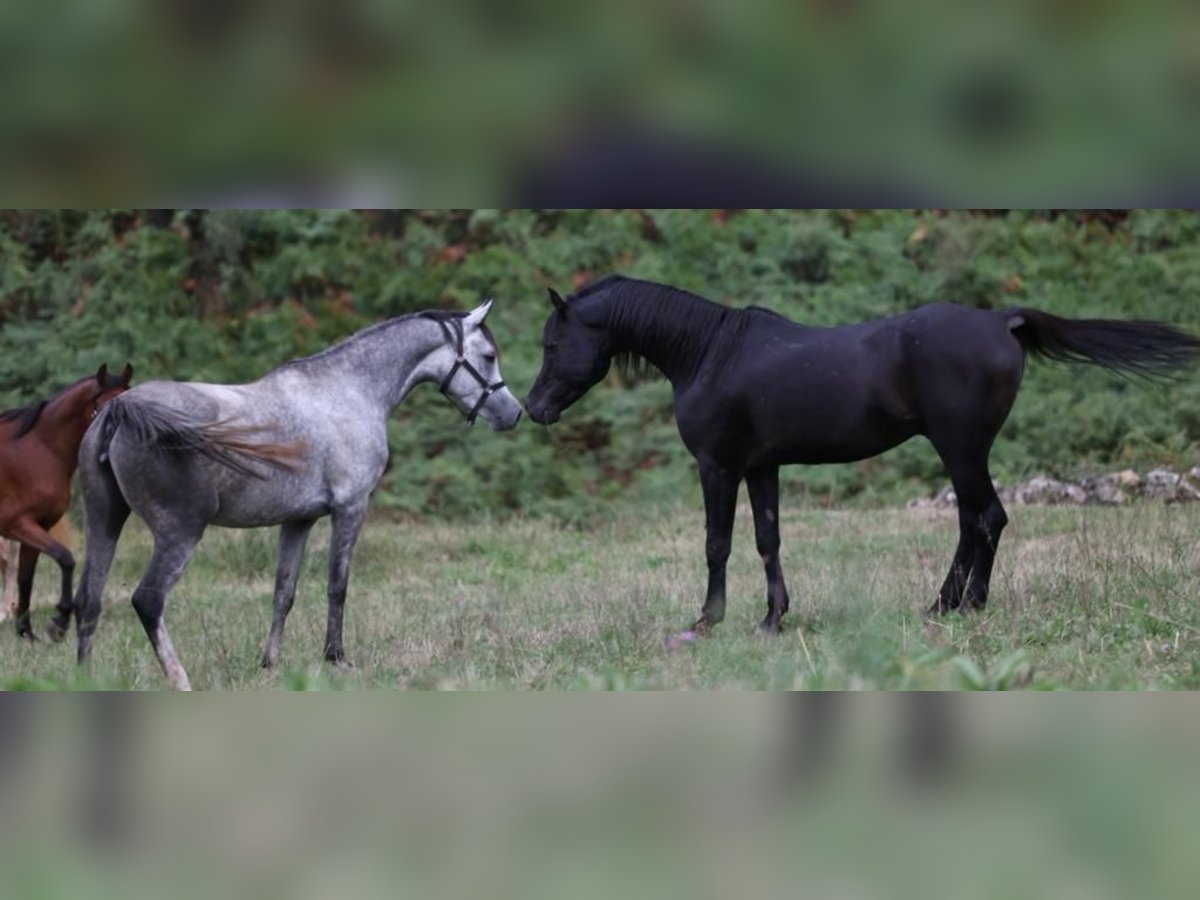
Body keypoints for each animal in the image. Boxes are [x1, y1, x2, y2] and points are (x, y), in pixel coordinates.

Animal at [0, 362, 132, 643]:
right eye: (100, 410)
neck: (35, 450)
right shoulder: (17, 525)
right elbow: (65, 558)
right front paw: (60, 621)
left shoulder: (39, 525)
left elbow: (26, 578)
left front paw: (27, 633)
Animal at [70, 303, 520, 691]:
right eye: (488, 356)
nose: (513, 414)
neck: (349, 390)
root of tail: (120, 410)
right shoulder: (350, 508)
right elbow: (337, 586)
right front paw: (336, 657)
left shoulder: (297, 521)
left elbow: (283, 592)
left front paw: (269, 663)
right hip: (178, 532)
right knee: (148, 601)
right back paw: (180, 679)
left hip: (104, 523)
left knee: (88, 601)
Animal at [523, 274, 1200, 633]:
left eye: (554, 343)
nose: (532, 407)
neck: (708, 354)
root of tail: (1002, 321)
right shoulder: (761, 467)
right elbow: (767, 540)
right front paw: (773, 619)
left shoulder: (718, 467)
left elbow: (717, 543)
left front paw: (707, 621)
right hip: (962, 452)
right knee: (972, 521)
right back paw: (941, 603)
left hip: (960, 447)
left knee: (986, 518)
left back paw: (967, 607)